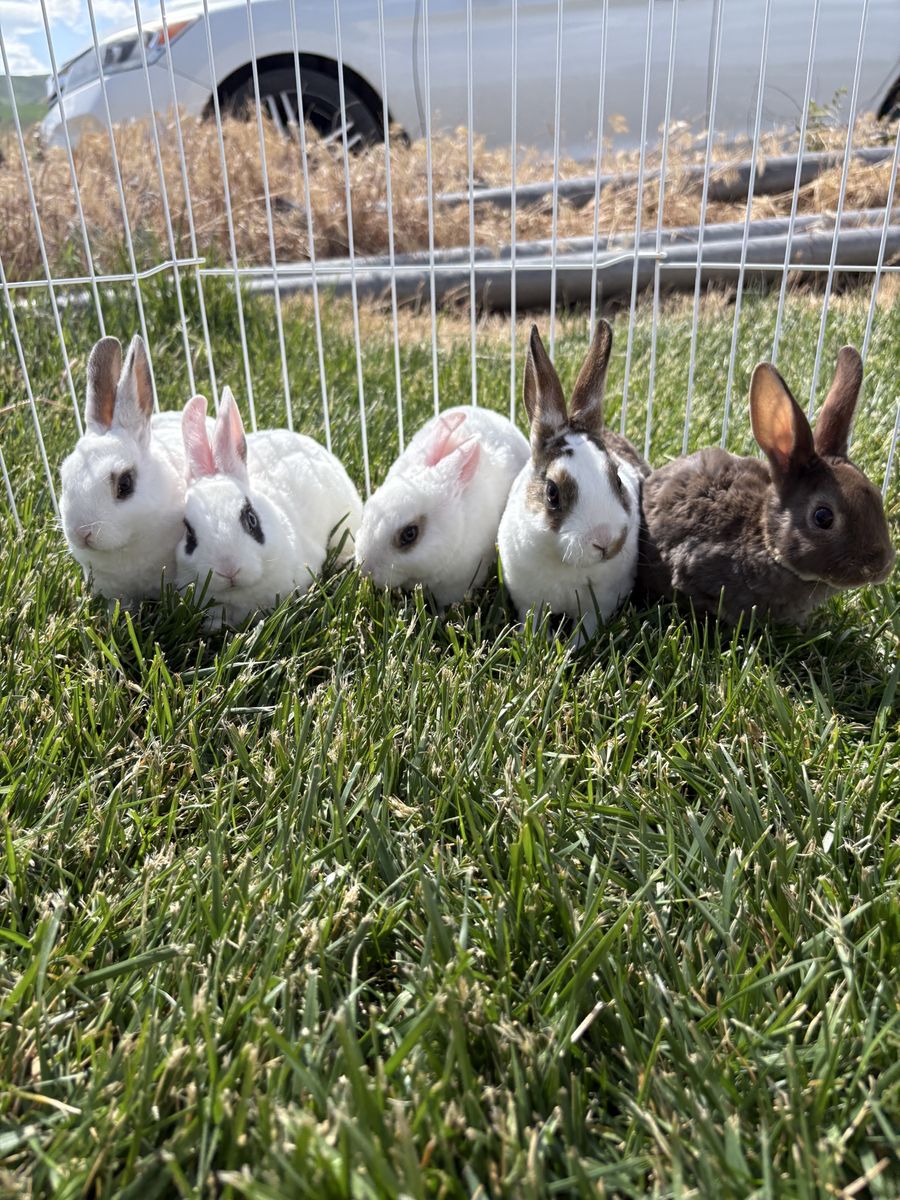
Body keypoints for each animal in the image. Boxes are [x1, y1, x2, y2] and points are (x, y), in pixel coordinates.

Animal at [498, 320, 650, 641]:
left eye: (617, 479)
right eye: (552, 493)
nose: (607, 541)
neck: (566, 563)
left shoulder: (599, 606)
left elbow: (587, 631)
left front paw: (572, 648)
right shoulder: (528, 602)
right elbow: (533, 624)